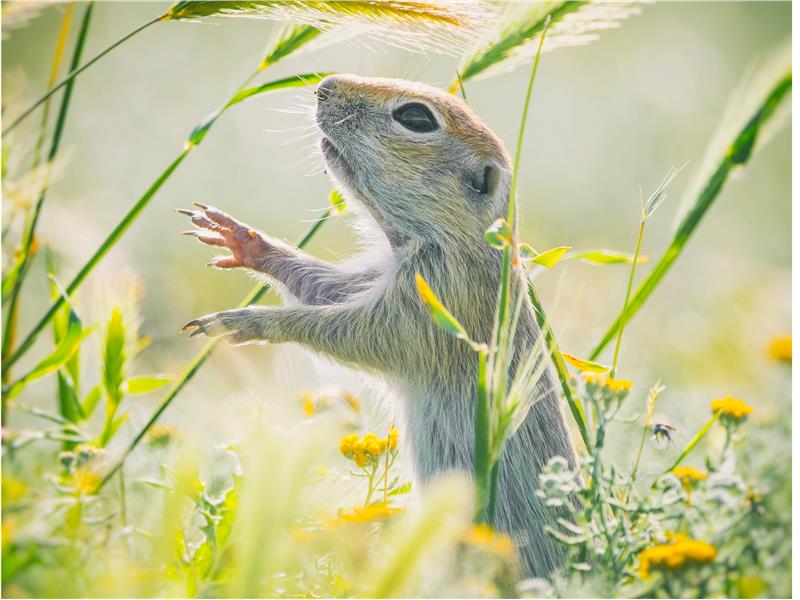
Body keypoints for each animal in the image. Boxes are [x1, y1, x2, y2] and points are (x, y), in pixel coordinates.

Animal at [180, 75, 580, 576]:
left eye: (415, 118)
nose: (324, 85)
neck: (461, 241)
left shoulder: (432, 300)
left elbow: (357, 333)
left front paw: (246, 321)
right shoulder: (374, 277)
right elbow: (323, 287)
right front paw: (245, 241)